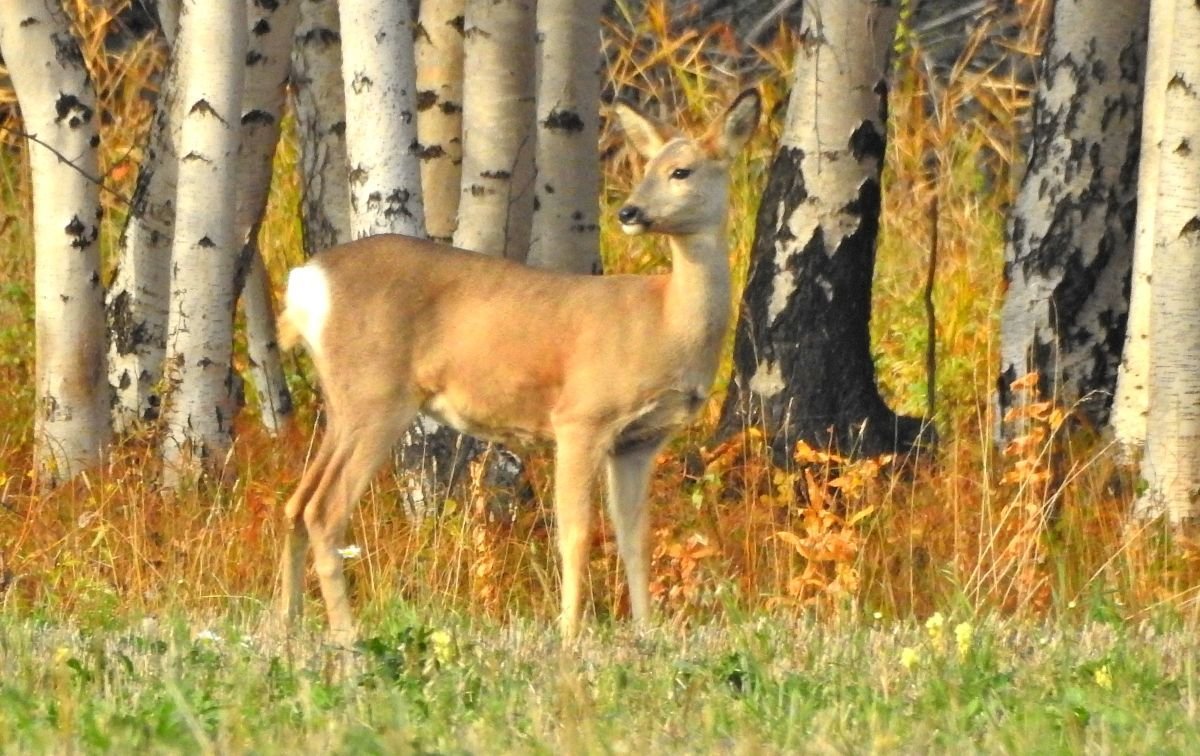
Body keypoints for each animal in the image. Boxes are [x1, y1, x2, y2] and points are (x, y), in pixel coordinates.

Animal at [278, 90, 758, 648]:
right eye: (647, 167)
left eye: (681, 170)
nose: (629, 211)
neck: (666, 322)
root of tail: (306, 281)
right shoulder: (582, 416)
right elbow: (576, 533)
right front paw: (570, 635)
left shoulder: (638, 440)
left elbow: (634, 536)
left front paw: (646, 632)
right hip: (377, 396)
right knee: (324, 509)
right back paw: (348, 635)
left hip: (344, 401)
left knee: (296, 503)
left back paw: (285, 625)